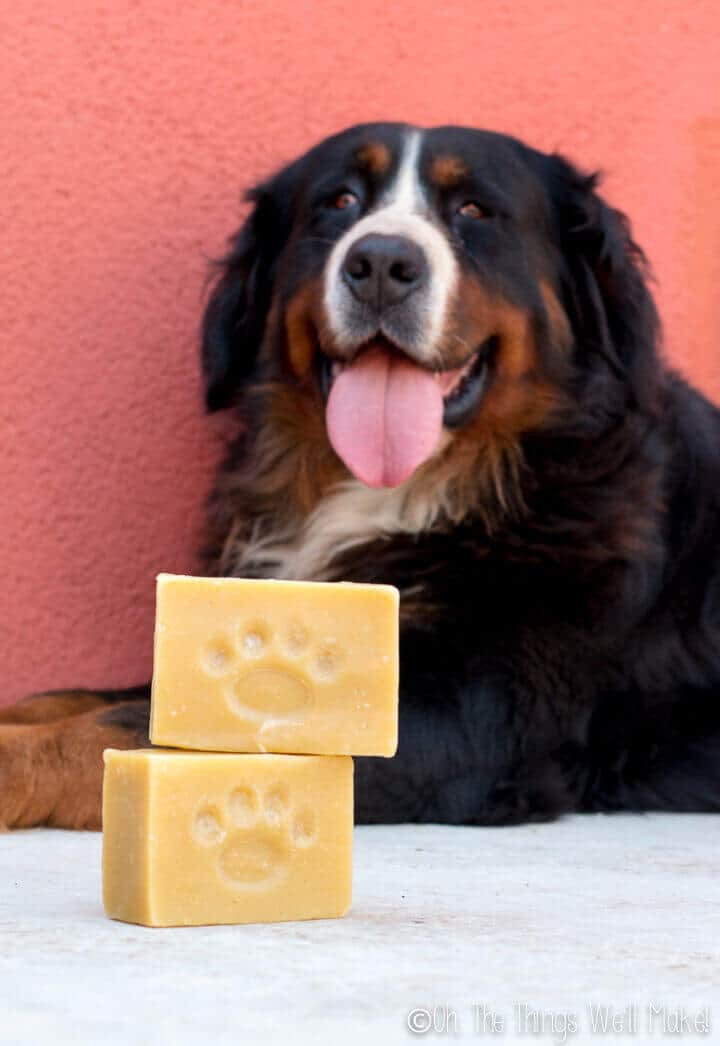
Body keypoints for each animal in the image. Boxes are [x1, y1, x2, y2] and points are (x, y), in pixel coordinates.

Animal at [1, 120, 720, 824]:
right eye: (340, 201)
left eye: (474, 210)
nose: (379, 264)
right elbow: (90, 695)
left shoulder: (472, 708)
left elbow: (120, 726)